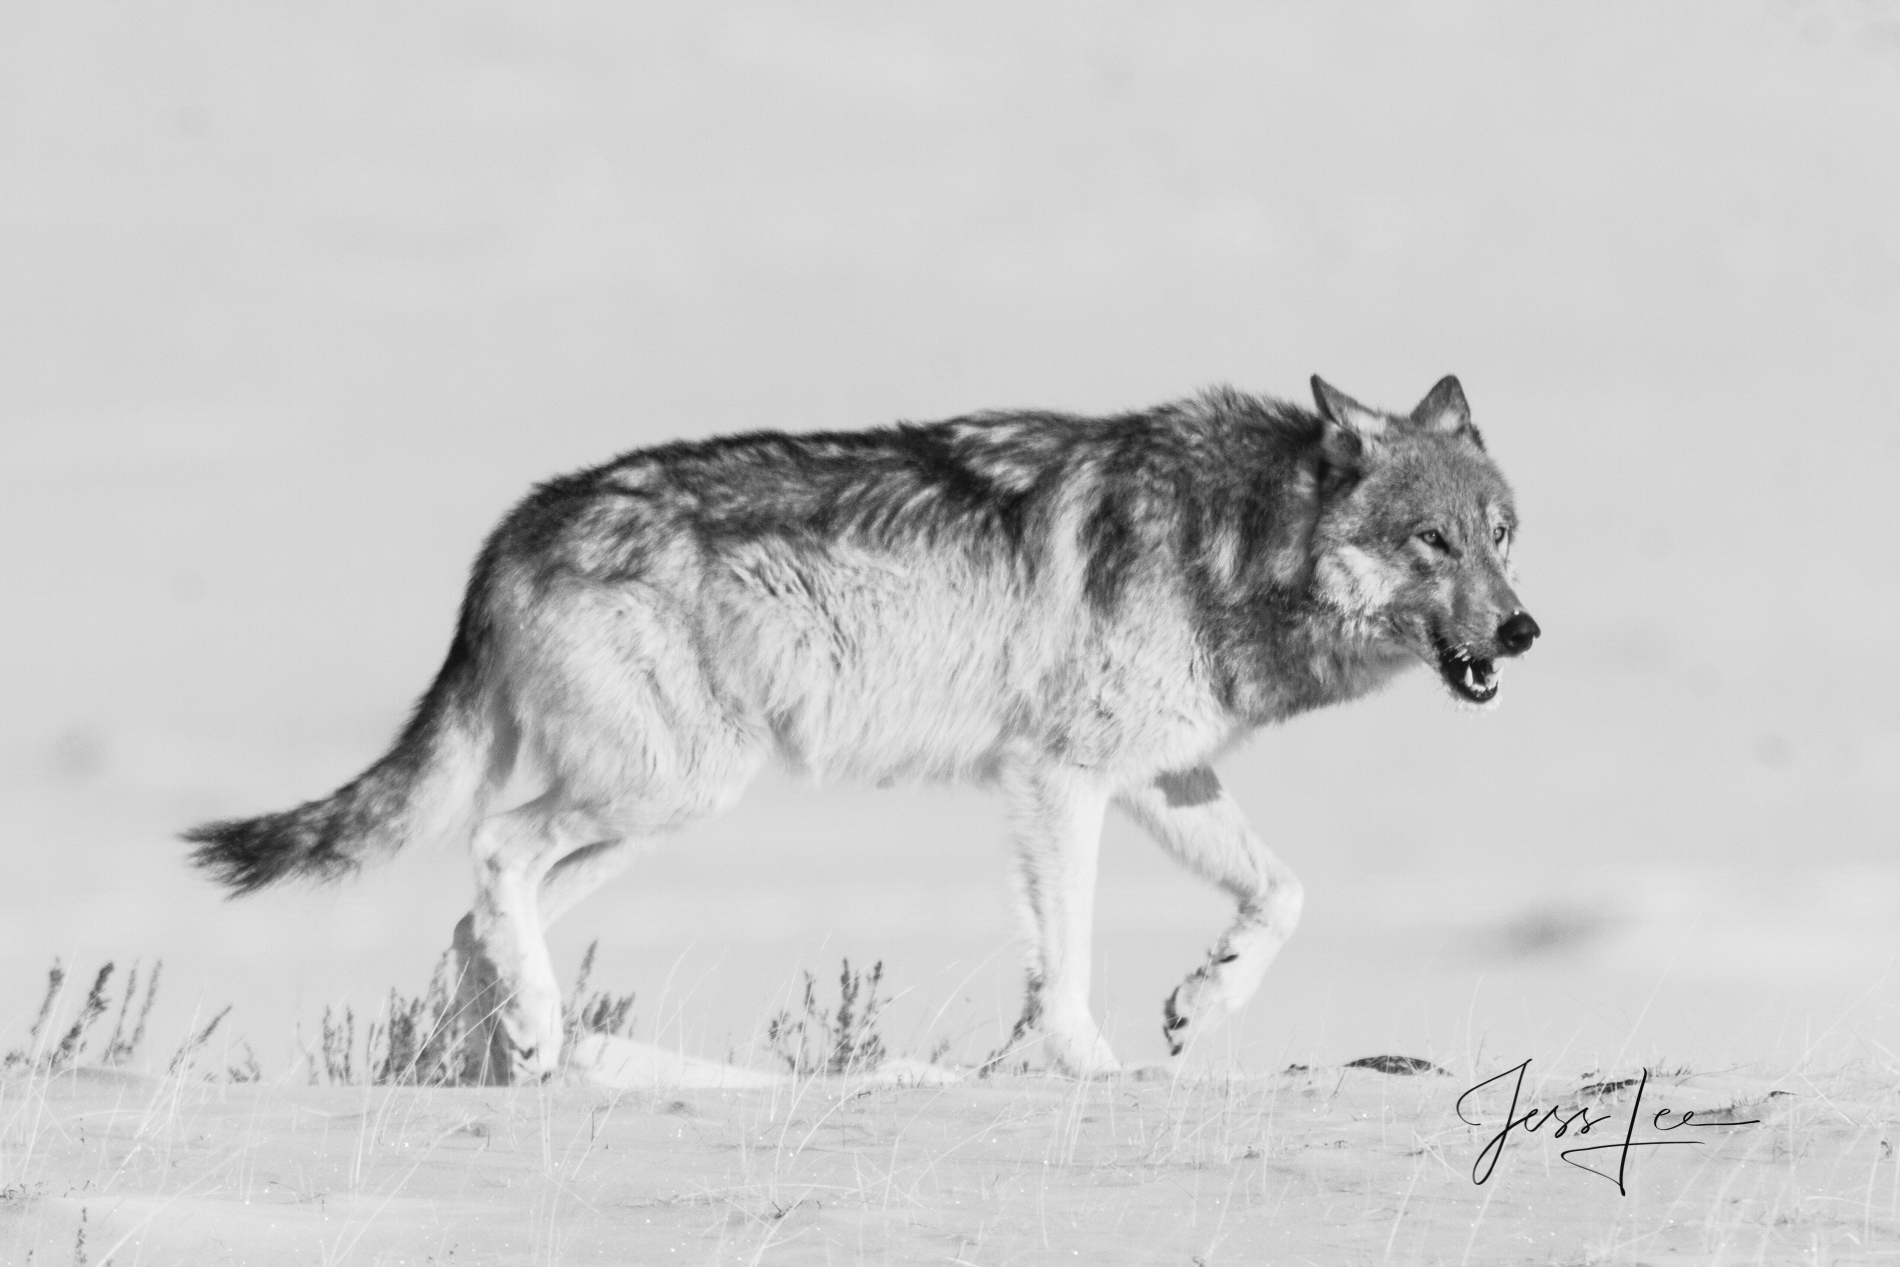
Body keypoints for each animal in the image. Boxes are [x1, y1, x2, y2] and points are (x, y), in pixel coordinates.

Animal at [181, 374, 1542, 1078]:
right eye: (1431, 540)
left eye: (1502, 534)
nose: (1524, 630)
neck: (1236, 541)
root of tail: (513, 526)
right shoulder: (1057, 778)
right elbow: (1065, 958)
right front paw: (1089, 1069)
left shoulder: (1158, 773)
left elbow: (1283, 893)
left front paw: (1202, 1003)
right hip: (666, 791)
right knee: (492, 854)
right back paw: (533, 1034)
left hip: (657, 816)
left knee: (474, 919)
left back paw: (517, 1050)